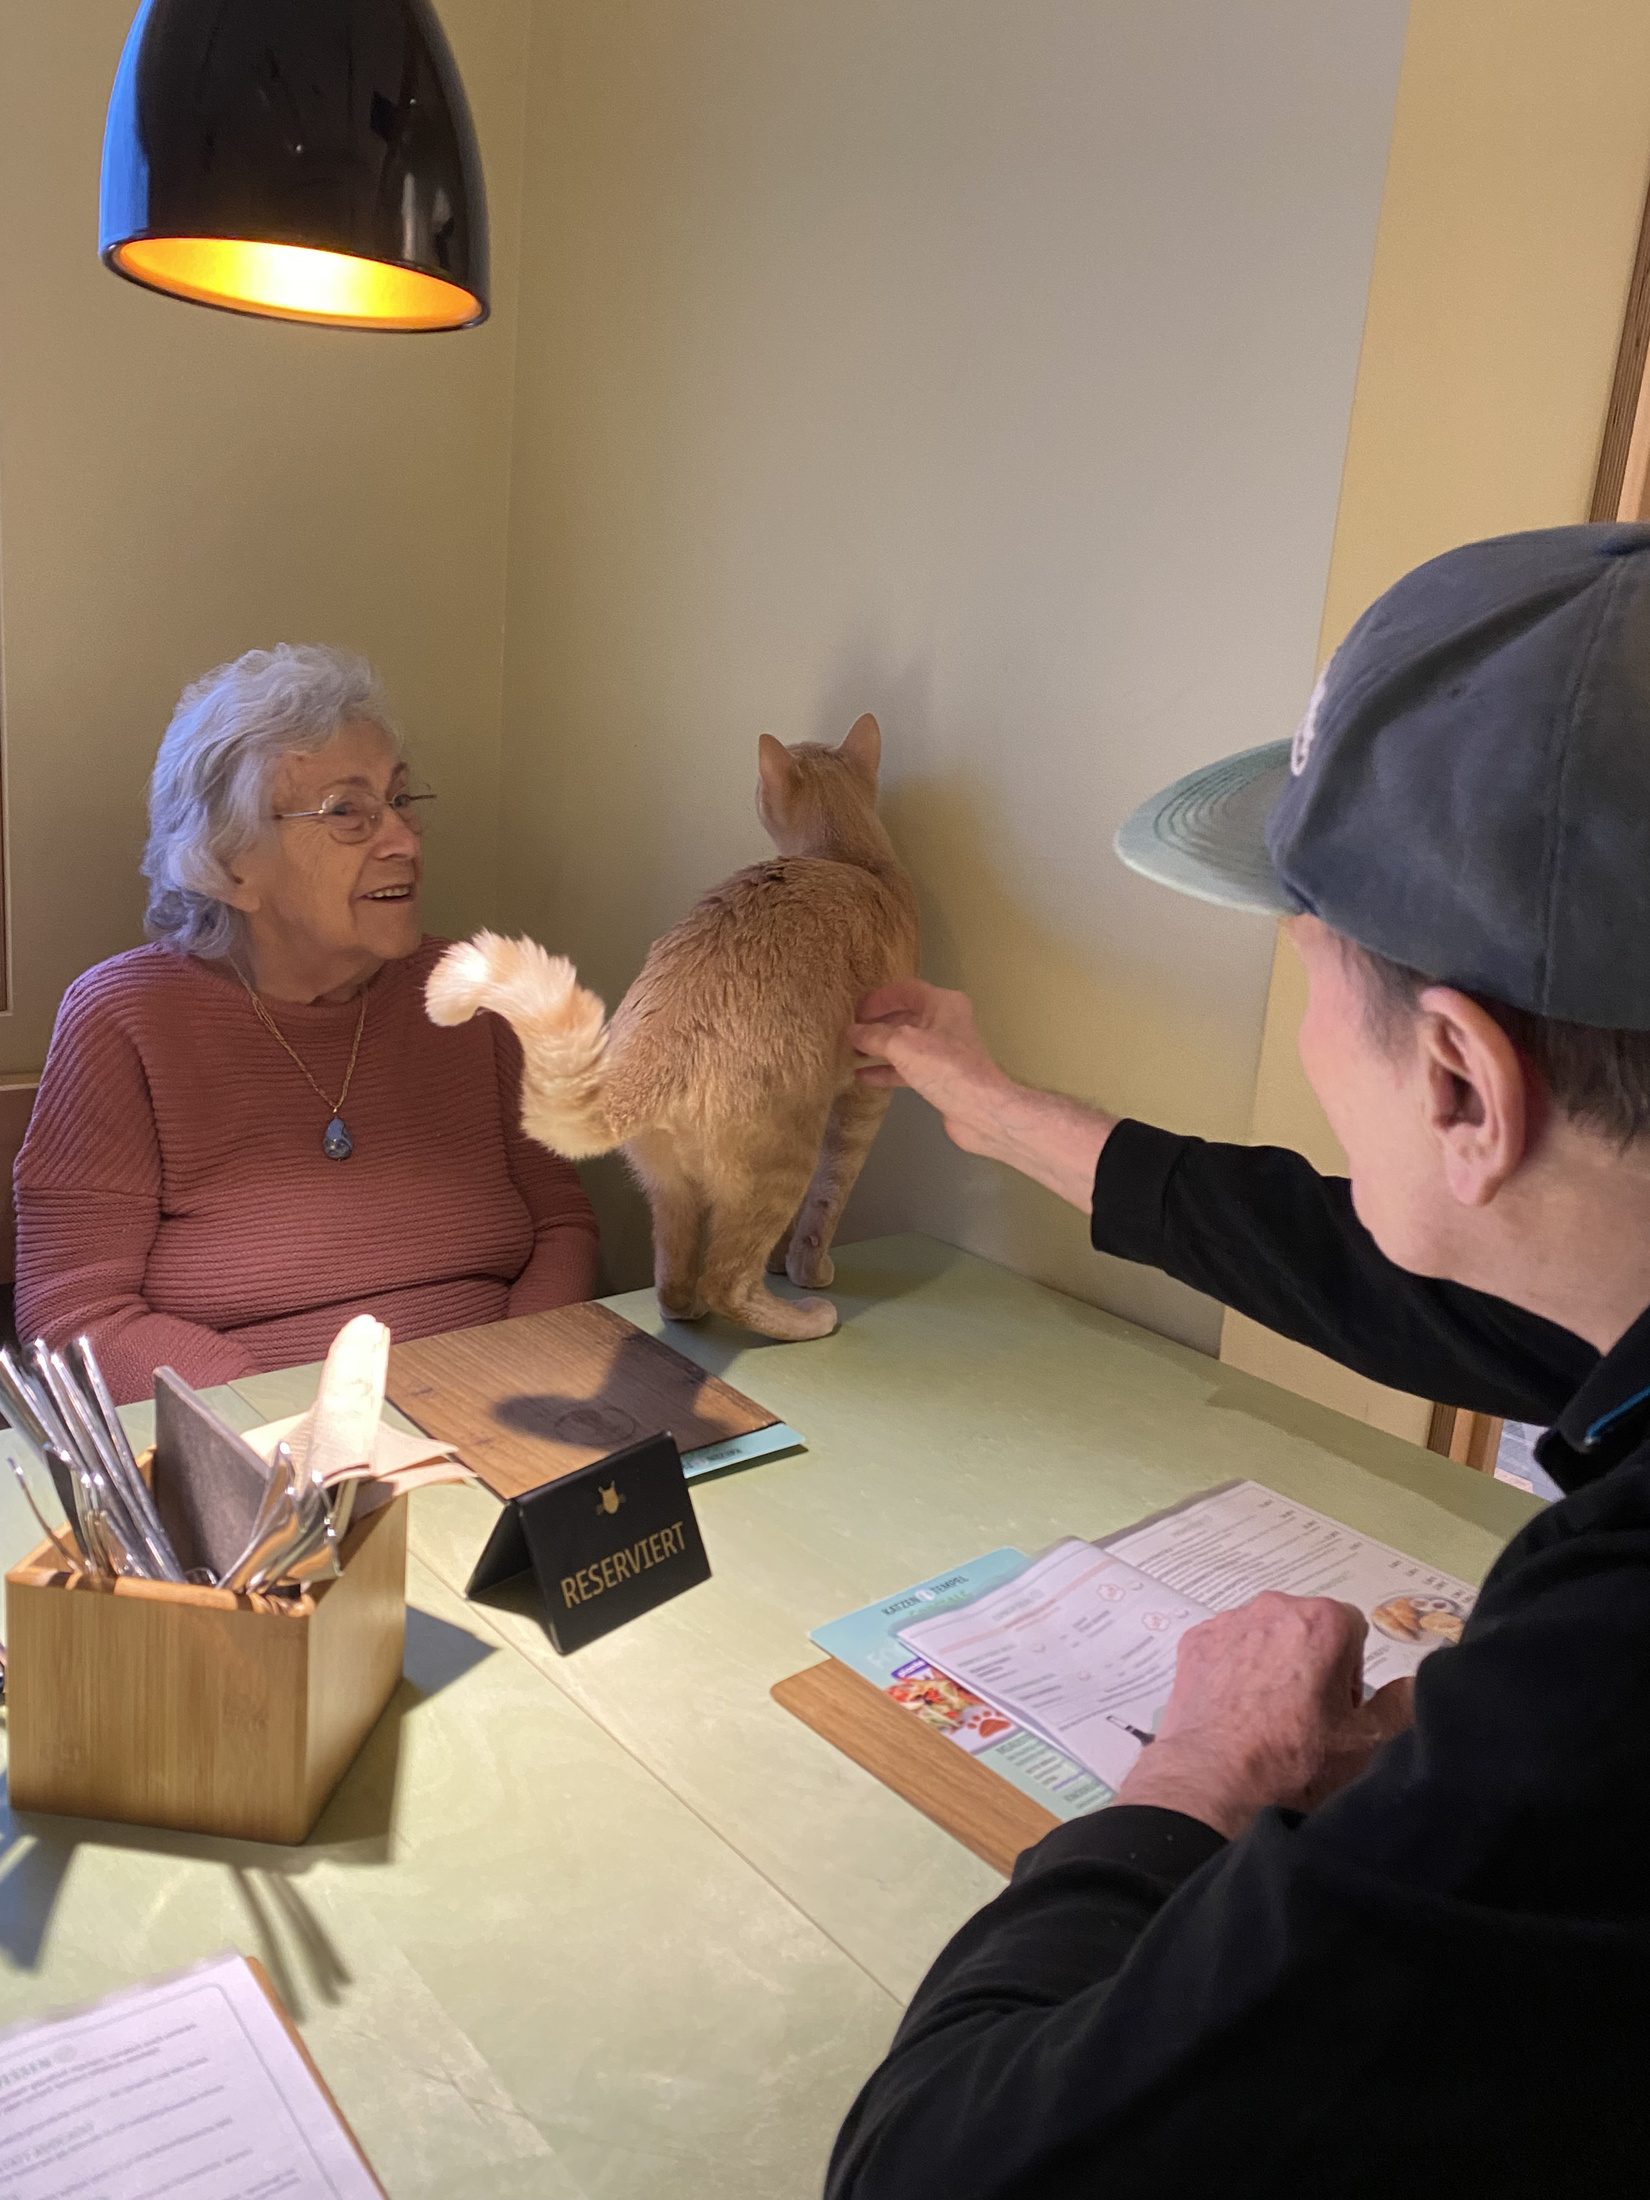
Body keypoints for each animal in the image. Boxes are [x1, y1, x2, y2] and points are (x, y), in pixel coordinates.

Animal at [425, 714, 919, 1341]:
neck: (850, 860)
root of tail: (661, 1049)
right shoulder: (866, 1098)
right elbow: (827, 1203)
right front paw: (807, 1271)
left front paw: (784, 1264)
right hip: (783, 1160)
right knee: (727, 1280)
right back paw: (802, 1318)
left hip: (670, 1190)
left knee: (675, 1279)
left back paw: (691, 1311)